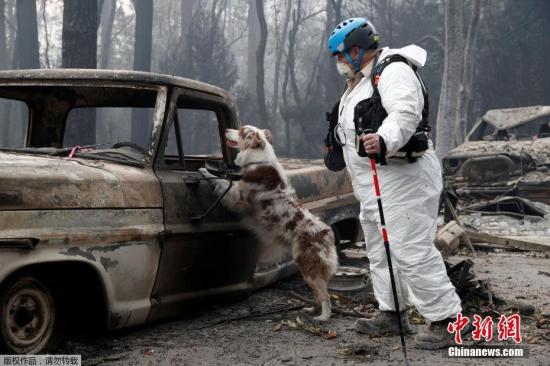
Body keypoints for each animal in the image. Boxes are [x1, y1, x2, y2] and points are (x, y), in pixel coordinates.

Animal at [201, 125, 338, 320]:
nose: (226, 129)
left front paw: (204, 171)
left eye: (241, 130)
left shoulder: (238, 197)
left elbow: (223, 181)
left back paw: (323, 317)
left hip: (307, 265)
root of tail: (326, 232)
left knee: (325, 295)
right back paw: (311, 309)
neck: (257, 158)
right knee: (319, 293)